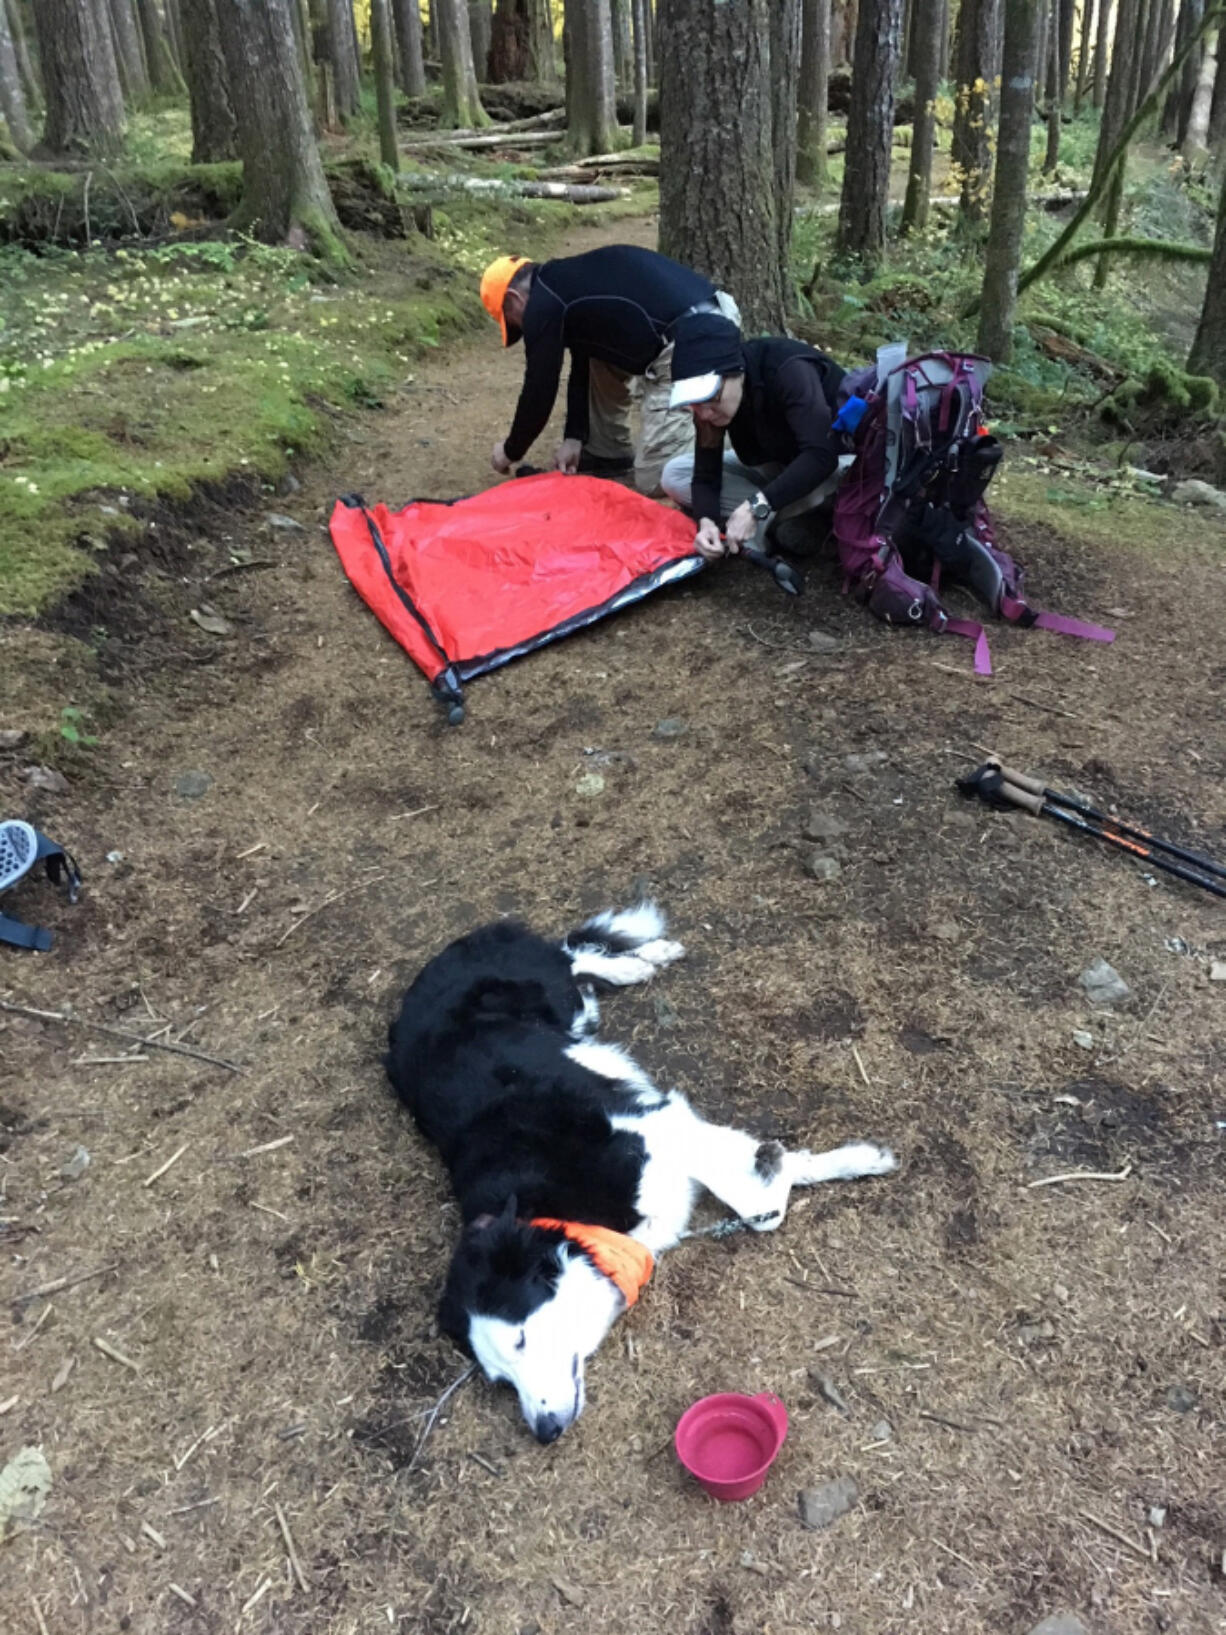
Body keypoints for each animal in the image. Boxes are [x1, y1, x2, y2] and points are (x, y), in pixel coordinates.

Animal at [389, 909, 895, 1445]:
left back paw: (641, 960)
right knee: (578, 959)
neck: (555, 1216)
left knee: (571, 952)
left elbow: (757, 1205)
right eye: (501, 1380)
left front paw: (796, 1166)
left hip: (554, 993)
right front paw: (834, 1161)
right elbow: (762, 1188)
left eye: (521, 1339)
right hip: (574, 1015)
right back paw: (640, 961)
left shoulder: (654, 1124)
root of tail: (447, 955)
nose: (544, 1431)